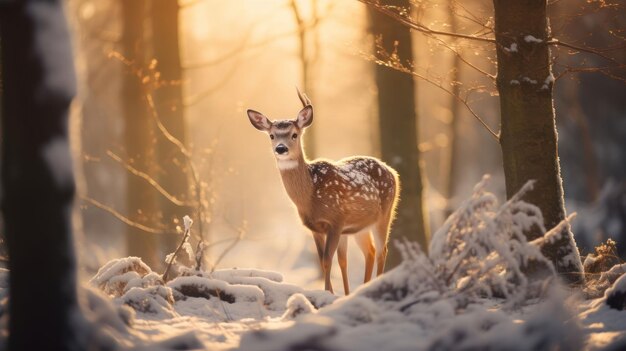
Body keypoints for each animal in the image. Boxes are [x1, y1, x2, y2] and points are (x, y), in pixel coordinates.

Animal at [246, 89, 398, 296]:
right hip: (360, 226)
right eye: (271, 135)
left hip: (385, 214)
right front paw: (332, 294)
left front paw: (328, 294)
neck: (310, 197)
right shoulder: (316, 228)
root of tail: (393, 172)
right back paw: (359, 290)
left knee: (382, 251)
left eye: (294, 134)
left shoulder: (336, 220)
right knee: (370, 252)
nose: (281, 148)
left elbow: (327, 261)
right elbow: (324, 260)